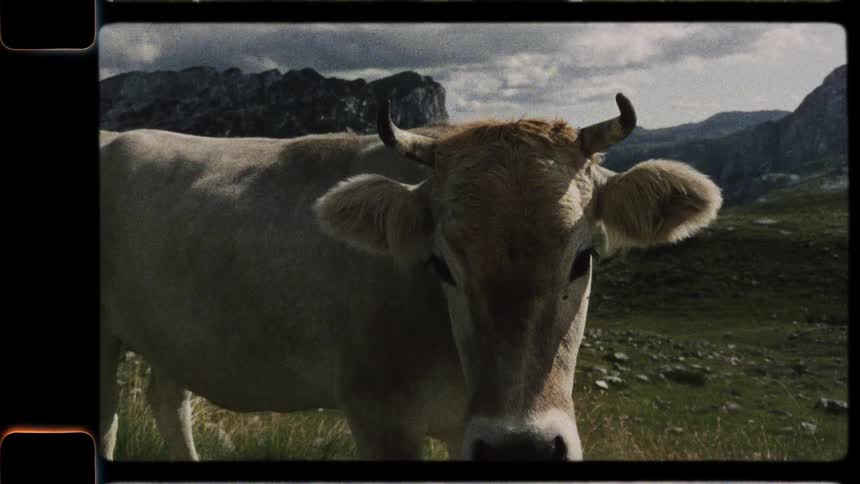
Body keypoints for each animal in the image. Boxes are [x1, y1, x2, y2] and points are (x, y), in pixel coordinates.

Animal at [100, 93, 722, 461]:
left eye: (584, 257)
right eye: (440, 263)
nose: (519, 451)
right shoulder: (379, 416)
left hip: (173, 334)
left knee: (168, 400)